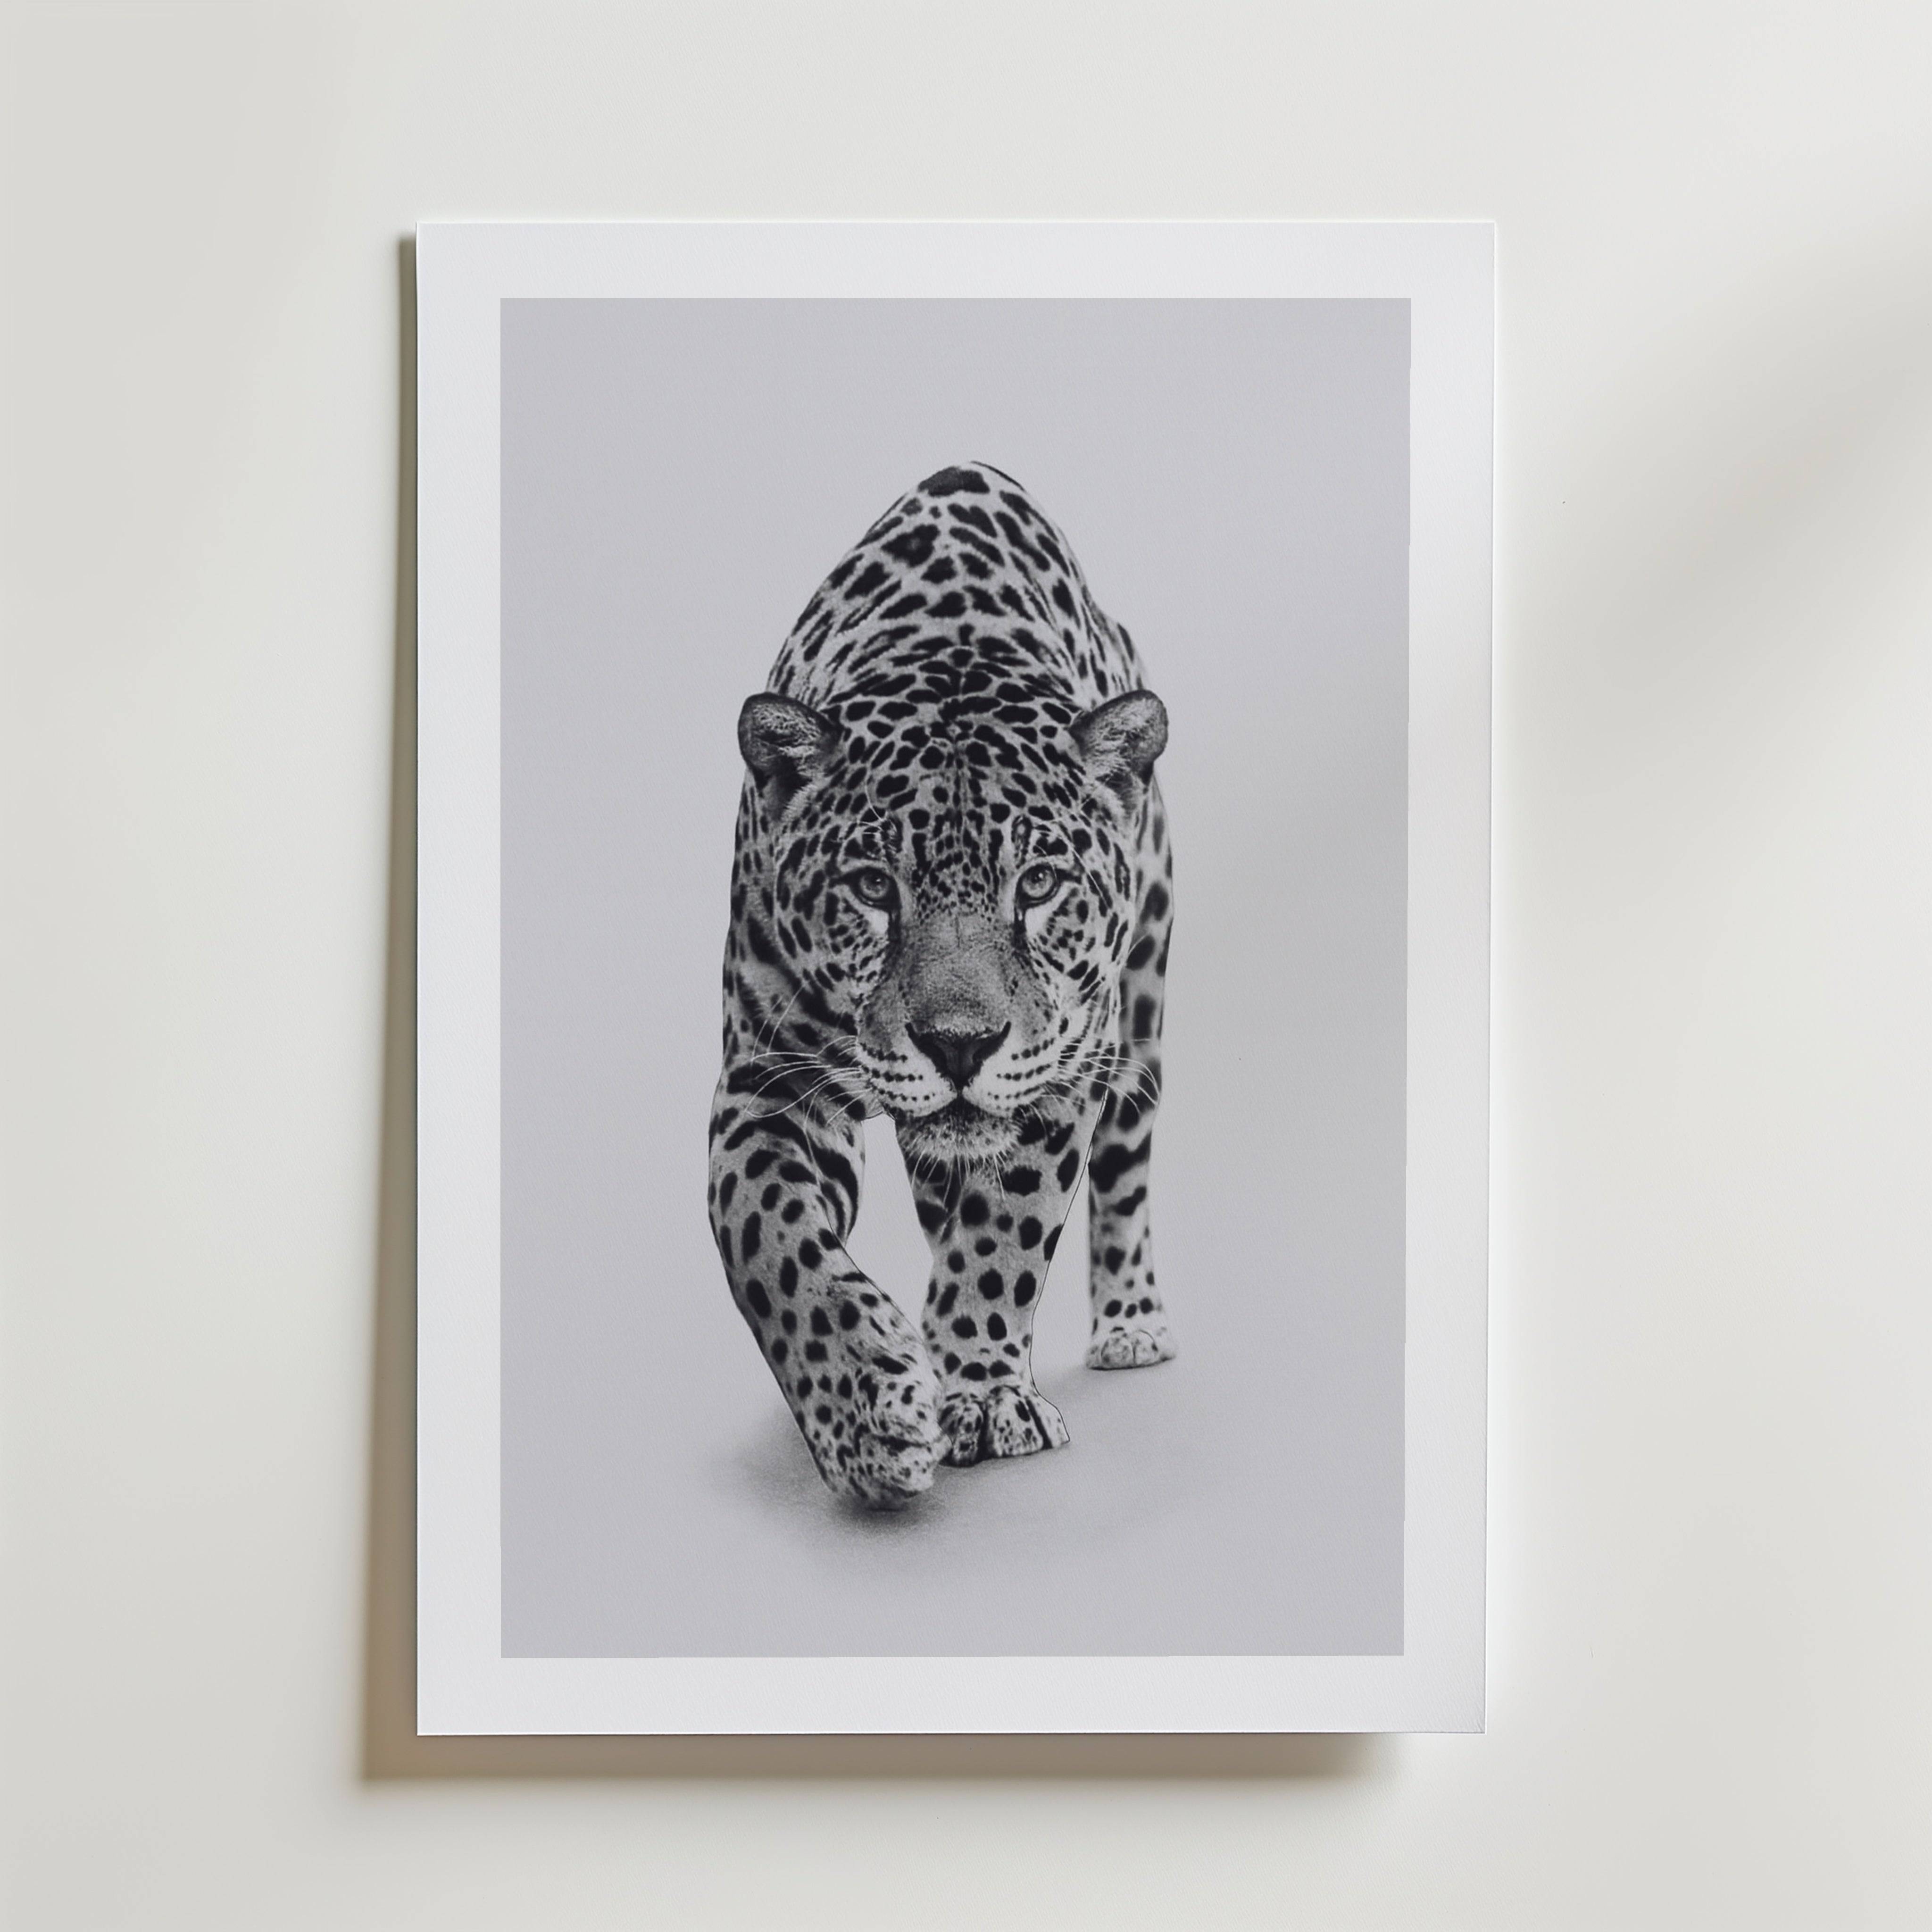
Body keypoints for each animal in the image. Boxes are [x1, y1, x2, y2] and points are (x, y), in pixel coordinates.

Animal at [707, 461, 1175, 1510]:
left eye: (1037, 883)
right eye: (875, 887)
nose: (959, 1044)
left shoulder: (1059, 1067)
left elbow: (1005, 1233)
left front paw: (983, 1395)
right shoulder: (765, 1077)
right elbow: (768, 1235)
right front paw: (865, 1412)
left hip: (1142, 1016)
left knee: (1125, 1167)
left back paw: (1130, 1322)